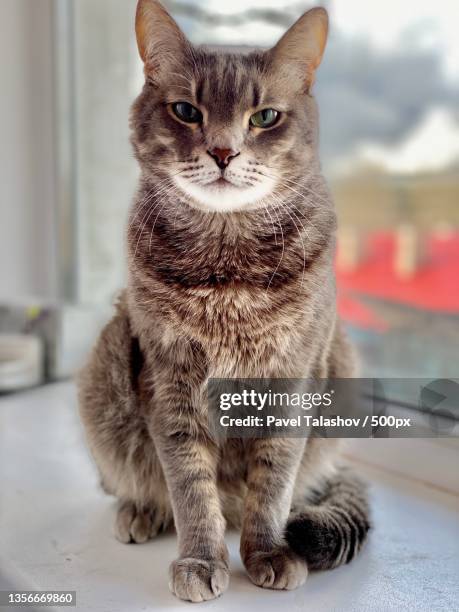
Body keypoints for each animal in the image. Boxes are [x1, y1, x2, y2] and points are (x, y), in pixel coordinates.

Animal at [78, 0, 370, 604]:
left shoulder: (293, 376)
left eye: (265, 117)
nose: (222, 151)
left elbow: (273, 483)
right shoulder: (169, 380)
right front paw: (200, 559)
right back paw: (140, 509)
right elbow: (190, 486)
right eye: (186, 110)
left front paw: (268, 552)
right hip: (106, 366)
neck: (228, 267)